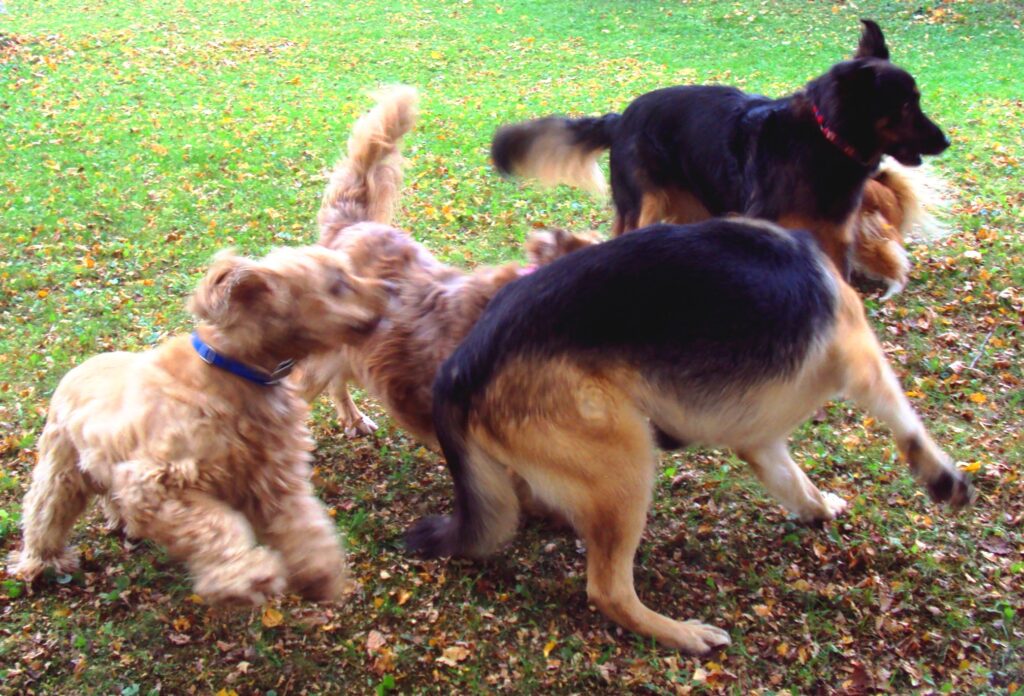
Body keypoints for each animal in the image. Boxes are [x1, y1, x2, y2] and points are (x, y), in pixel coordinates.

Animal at [11, 244, 387, 601]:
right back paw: (40, 563)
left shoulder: (272, 480)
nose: (389, 286)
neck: (234, 372)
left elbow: (304, 525)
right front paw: (246, 576)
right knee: (42, 515)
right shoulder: (157, 484)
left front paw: (319, 573)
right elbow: (217, 527)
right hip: (60, 471)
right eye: (338, 284)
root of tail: (75, 369)